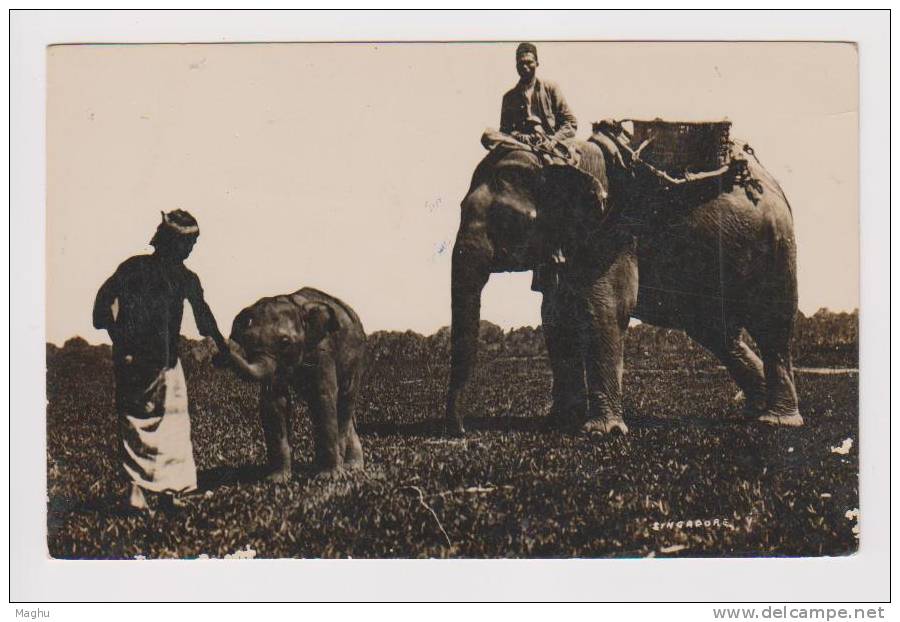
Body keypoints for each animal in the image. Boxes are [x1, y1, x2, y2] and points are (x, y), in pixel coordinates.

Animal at [444, 127, 800, 438]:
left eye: (508, 221)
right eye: (459, 207)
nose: (460, 432)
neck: (562, 158)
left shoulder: (613, 230)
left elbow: (605, 307)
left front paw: (601, 433)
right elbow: (556, 317)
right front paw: (557, 425)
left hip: (776, 247)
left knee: (772, 326)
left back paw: (777, 421)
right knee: (717, 333)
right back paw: (753, 413)